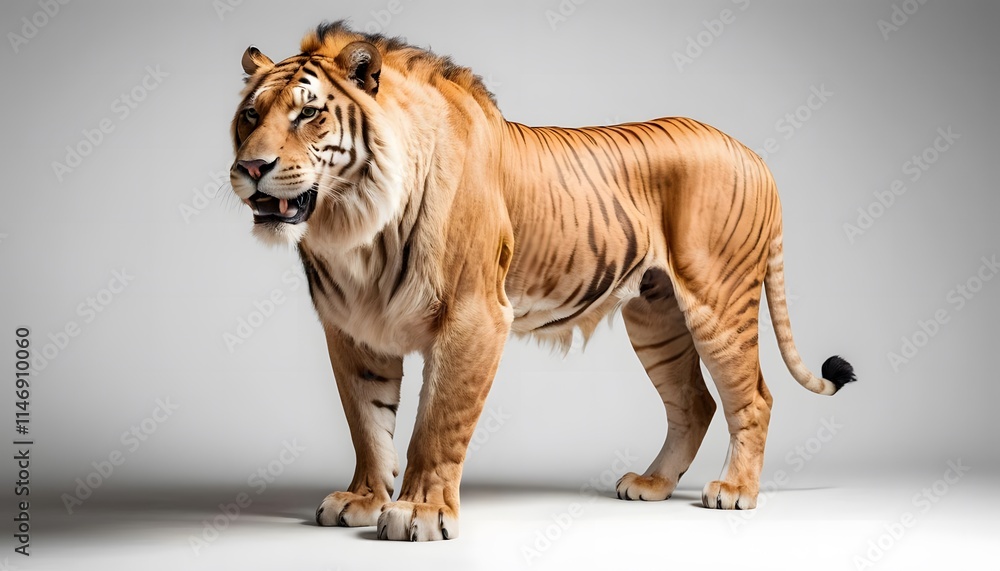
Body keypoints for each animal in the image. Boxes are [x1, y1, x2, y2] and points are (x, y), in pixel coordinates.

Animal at [228, 21, 856, 541]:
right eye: (251, 116)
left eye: (309, 114)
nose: (251, 167)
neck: (355, 226)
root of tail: (752, 152)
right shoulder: (353, 329)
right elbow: (367, 421)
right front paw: (361, 500)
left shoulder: (475, 316)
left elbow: (437, 422)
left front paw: (420, 512)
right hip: (655, 318)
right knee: (694, 402)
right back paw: (650, 485)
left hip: (718, 302)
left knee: (755, 397)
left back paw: (735, 491)